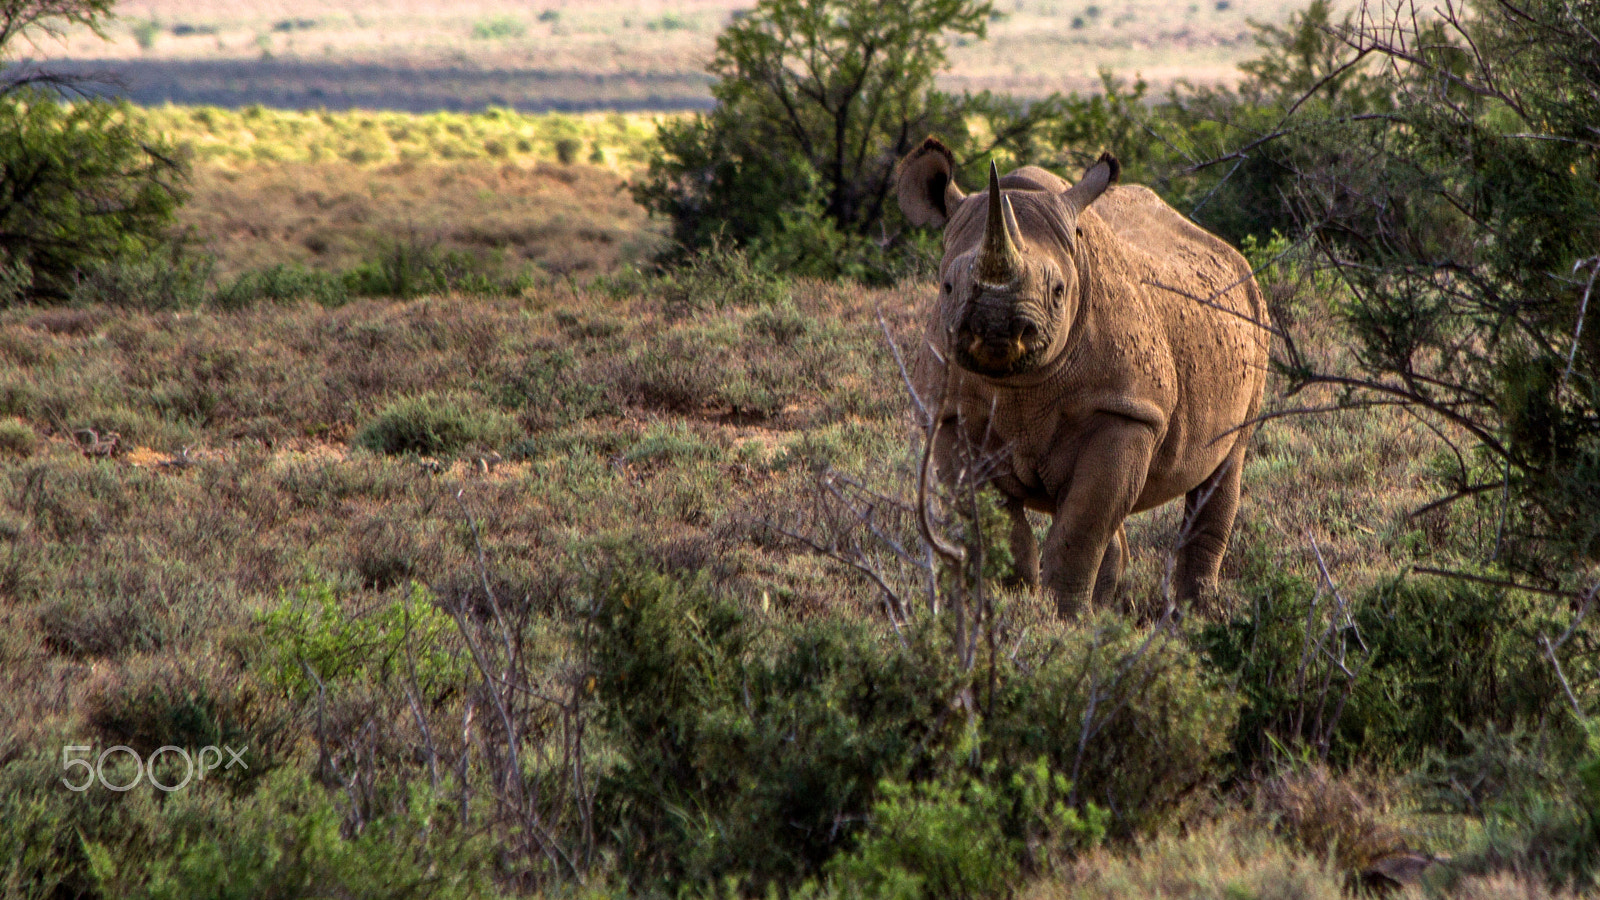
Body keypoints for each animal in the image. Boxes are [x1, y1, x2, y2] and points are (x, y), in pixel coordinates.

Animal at [896, 138, 1270, 617]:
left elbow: (1082, 527)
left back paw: (1195, 614)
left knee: (1225, 463)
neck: (1020, 384)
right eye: (946, 287)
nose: (995, 329)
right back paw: (1111, 609)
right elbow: (997, 527)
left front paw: (1063, 619)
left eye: (1058, 292)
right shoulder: (947, 415)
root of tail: (1226, 250)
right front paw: (1011, 608)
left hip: (1253, 312)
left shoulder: (1125, 411)